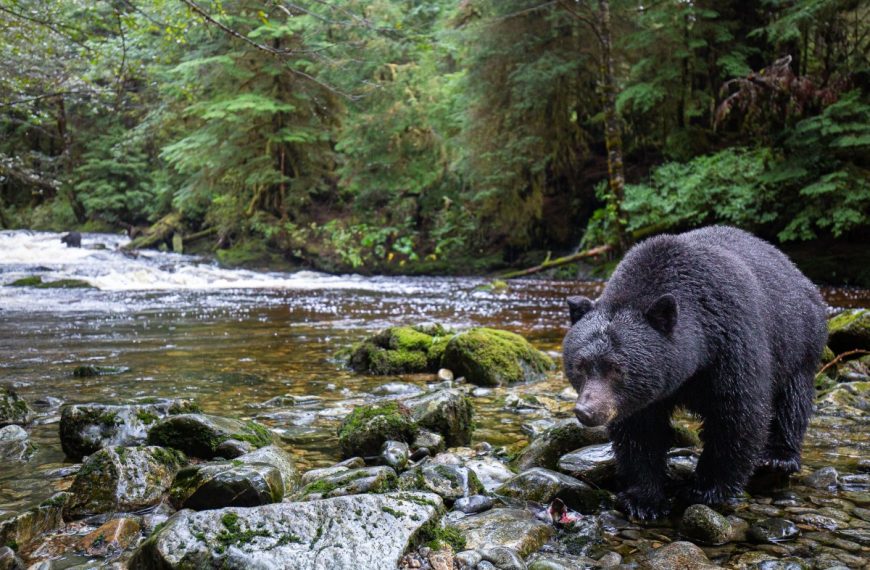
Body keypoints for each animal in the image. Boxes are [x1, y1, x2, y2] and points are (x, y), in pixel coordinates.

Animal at [562, 226, 827, 520]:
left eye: (616, 368)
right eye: (581, 365)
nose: (586, 411)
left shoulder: (732, 343)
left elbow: (737, 415)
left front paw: (705, 490)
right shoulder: (643, 396)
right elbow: (640, 431)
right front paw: (644, 499)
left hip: (798, 340)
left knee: (792, 400)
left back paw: (779, 457)